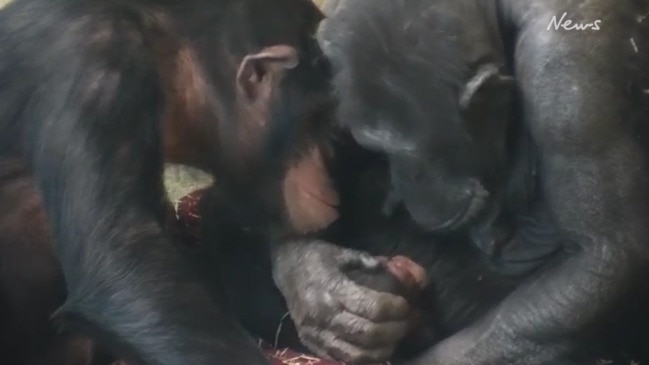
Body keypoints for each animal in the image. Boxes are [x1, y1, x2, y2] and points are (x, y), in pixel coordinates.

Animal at [205, 0, 648, 362]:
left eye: (407, 151)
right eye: (378, 148)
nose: (404, 181)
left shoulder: (568, 83)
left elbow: (596, 257)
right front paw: (315, 282)